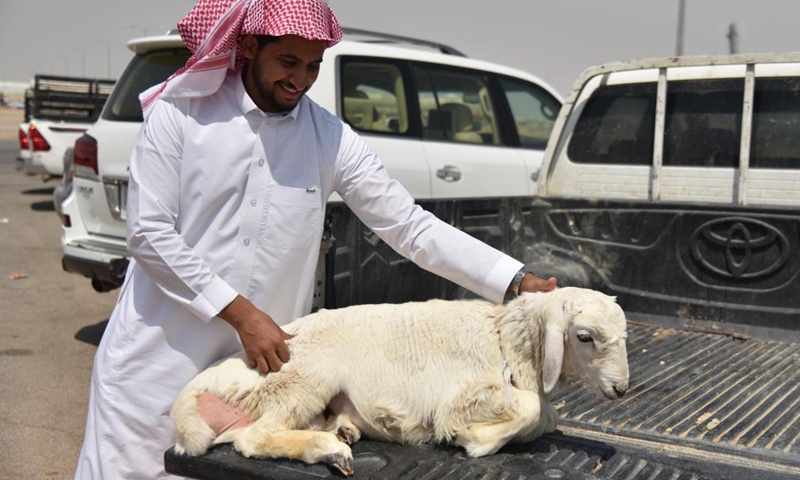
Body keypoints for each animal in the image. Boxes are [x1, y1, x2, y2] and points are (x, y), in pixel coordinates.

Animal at [172, 286, 628, 474]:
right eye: (584, 336)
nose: (621, 389)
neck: (505, 339)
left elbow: (546, 416)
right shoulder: (464, 395)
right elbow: (531, 410)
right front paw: (471, 439)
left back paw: (342, 430)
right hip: (303, 380)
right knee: (253, 438)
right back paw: (330, 450)